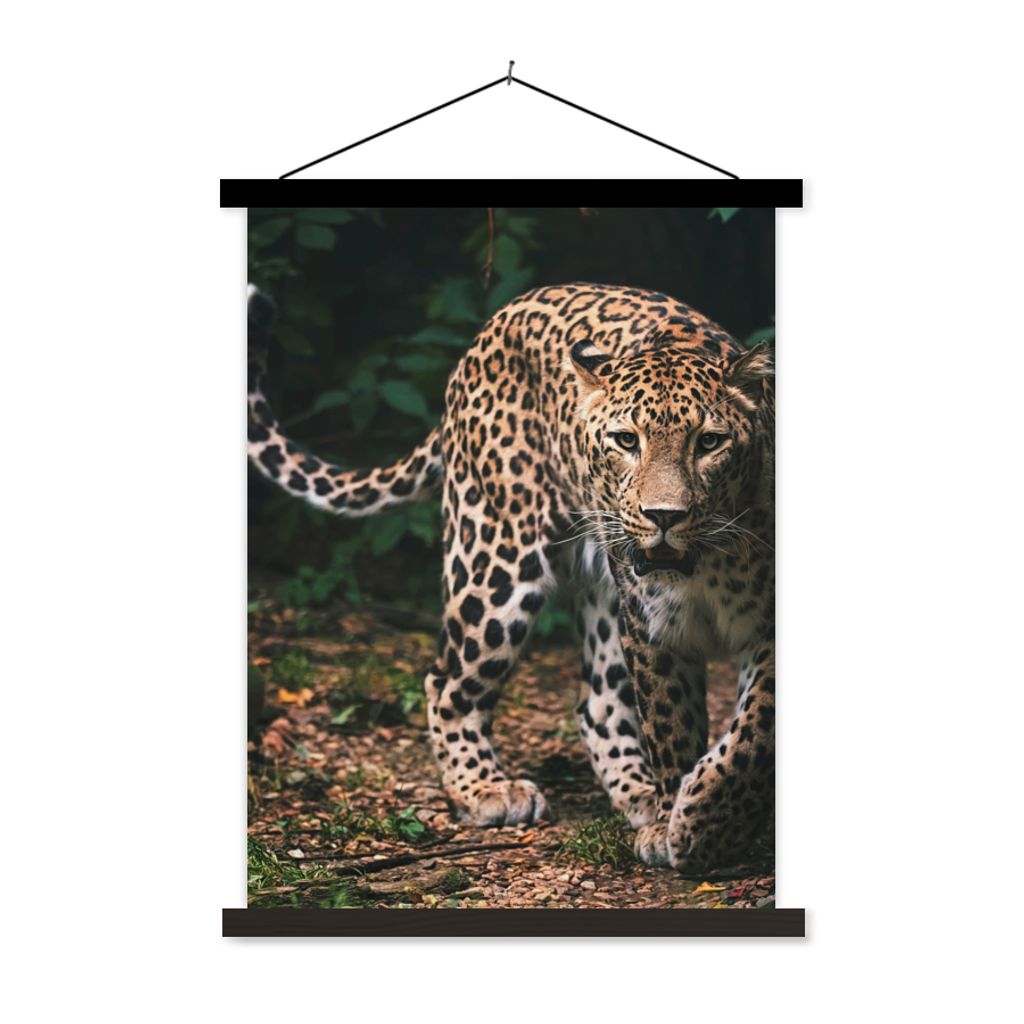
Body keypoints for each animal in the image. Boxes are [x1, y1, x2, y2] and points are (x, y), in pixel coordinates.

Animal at [247, 281, 775, 872]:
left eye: (709, 442)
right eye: (625, 441)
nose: (663, 516)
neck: (707, 562)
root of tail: (497, 320)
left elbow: (754, 736)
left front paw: (703, 819)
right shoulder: (652, 628)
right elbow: (672, 728)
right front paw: (681, 824)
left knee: (596, 701)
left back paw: (636, 794)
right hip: (495, 559)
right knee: (446, 680)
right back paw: (486, 790)